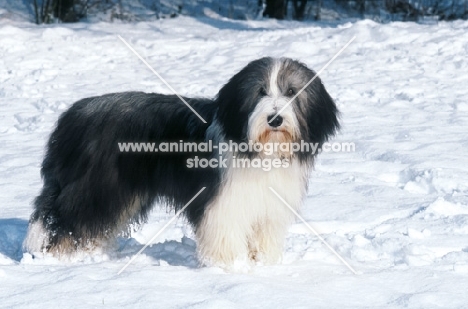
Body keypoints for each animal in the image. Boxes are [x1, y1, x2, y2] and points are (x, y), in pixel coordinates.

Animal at [23, 56, 338, 268]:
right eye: (261, 91)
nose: (275, 118)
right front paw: (231, 268)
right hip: (97, 185)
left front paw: (264, 265)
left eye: (291, 92)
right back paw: (60, 257)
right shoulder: (223, 202)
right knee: (64, 218)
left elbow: (264, 237)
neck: (262, 151)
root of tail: (73, 114)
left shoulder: (269, 206)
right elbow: (225, 233)